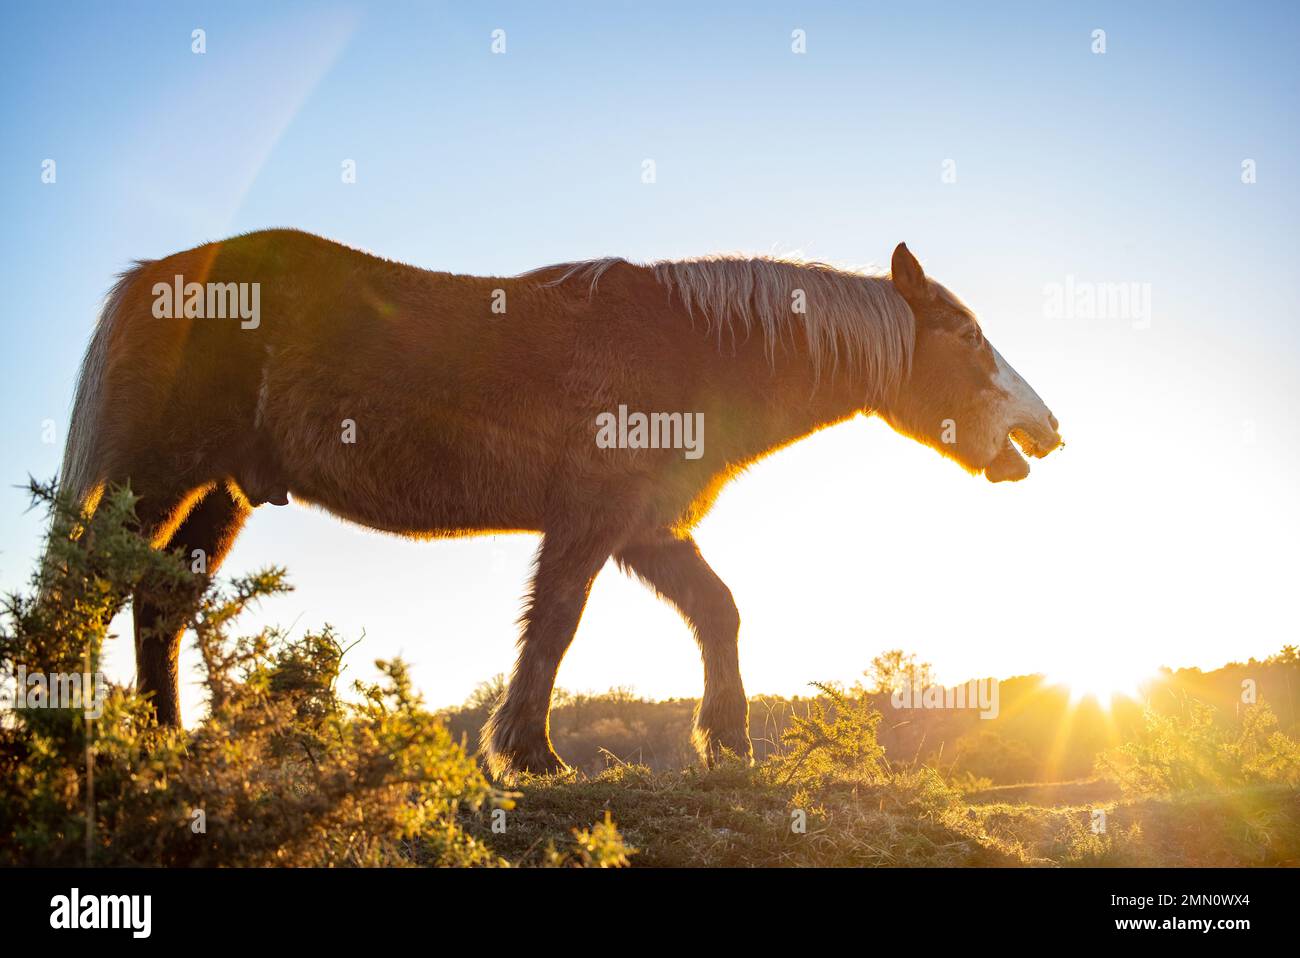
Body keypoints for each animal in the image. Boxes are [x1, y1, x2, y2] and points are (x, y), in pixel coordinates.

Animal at [54, 229, 1062, 779]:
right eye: (967, 336)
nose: (1048, 431)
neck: (691, 345)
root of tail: (157, 275)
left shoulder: (646, 527)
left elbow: (717, 612)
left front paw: (728, 746)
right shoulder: (592, 523)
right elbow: (557, 624)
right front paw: (531, 754)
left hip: (221, 494)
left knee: (159, 603)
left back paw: (166, 747)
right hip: (161, 477)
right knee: (88, 587)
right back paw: (68, 733)